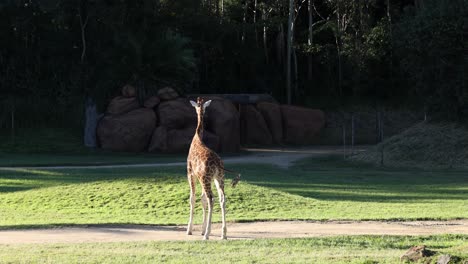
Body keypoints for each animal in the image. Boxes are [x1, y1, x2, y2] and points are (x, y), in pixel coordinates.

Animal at [186, 96, 239, 239]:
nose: (200, 110)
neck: (197, 138)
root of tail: (217, 163)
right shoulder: (201, 177)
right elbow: (202, 198)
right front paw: (202, 229)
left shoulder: (190, 173)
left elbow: (193, 198)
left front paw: (190, 230)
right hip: (218, 178)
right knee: (222, 198)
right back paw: (223, 234)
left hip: (206, 179)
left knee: (211, 199)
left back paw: (207, 235)